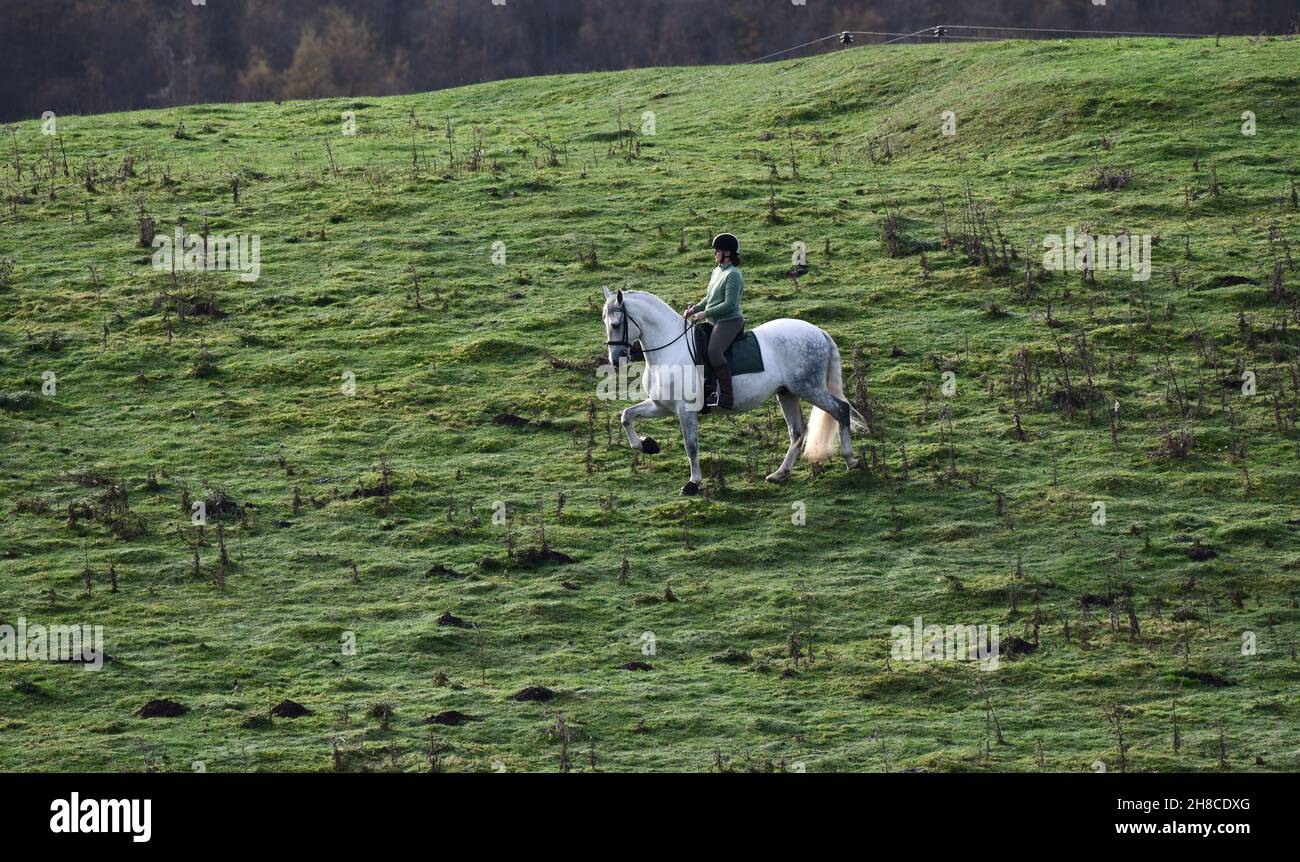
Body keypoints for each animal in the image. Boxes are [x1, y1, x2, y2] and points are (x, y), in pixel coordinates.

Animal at [601, 287, 865, 495]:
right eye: (605, 323)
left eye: (616, 324)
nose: (615, 360)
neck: (670, 350)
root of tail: (818, 332)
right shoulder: (661, 406)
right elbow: (626, 415)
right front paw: (648, 445)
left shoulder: (685, 410)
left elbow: (691, 446)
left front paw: (693, 484)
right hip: (787, 392)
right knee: (797, 431)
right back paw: (780, 473)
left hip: (809, 388)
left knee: (841, 410)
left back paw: (851, 460)